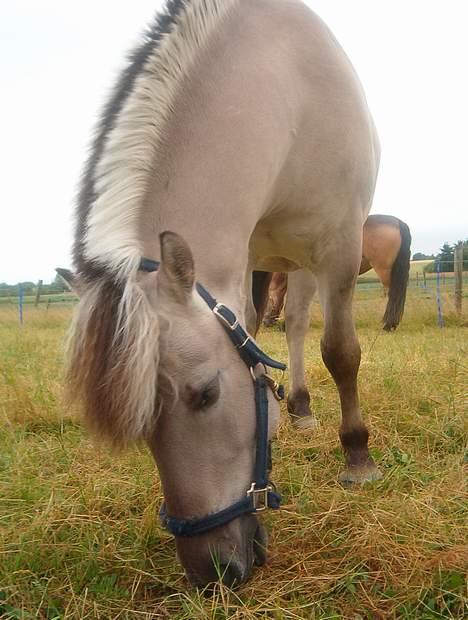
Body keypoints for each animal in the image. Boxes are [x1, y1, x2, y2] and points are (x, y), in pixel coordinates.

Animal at [65, 0, 380, 588]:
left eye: (206, 393)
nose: (213, 571)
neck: (288, 85)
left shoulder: (339, 248)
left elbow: (341, 352)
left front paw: (358, 458)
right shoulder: (247, 255)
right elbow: (253, 328)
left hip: (303, 262)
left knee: (300, 325)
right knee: (277, 322)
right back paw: (296, 408)